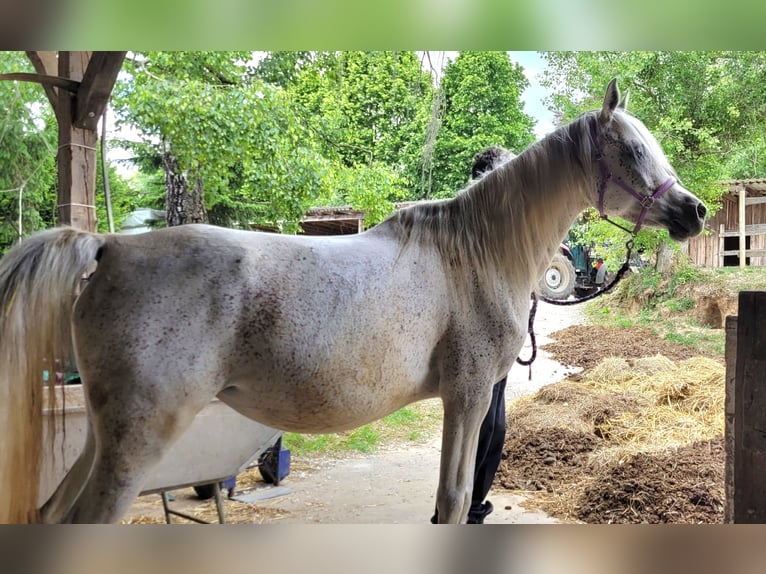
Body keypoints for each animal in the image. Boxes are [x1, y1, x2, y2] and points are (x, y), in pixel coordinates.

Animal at [0, 79, 706, 523]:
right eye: (631, 148)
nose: (693, 211)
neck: (475, 253)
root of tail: (107, 248)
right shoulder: (469, 396)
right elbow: (454, 499)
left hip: (102, 437)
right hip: (137, 441)